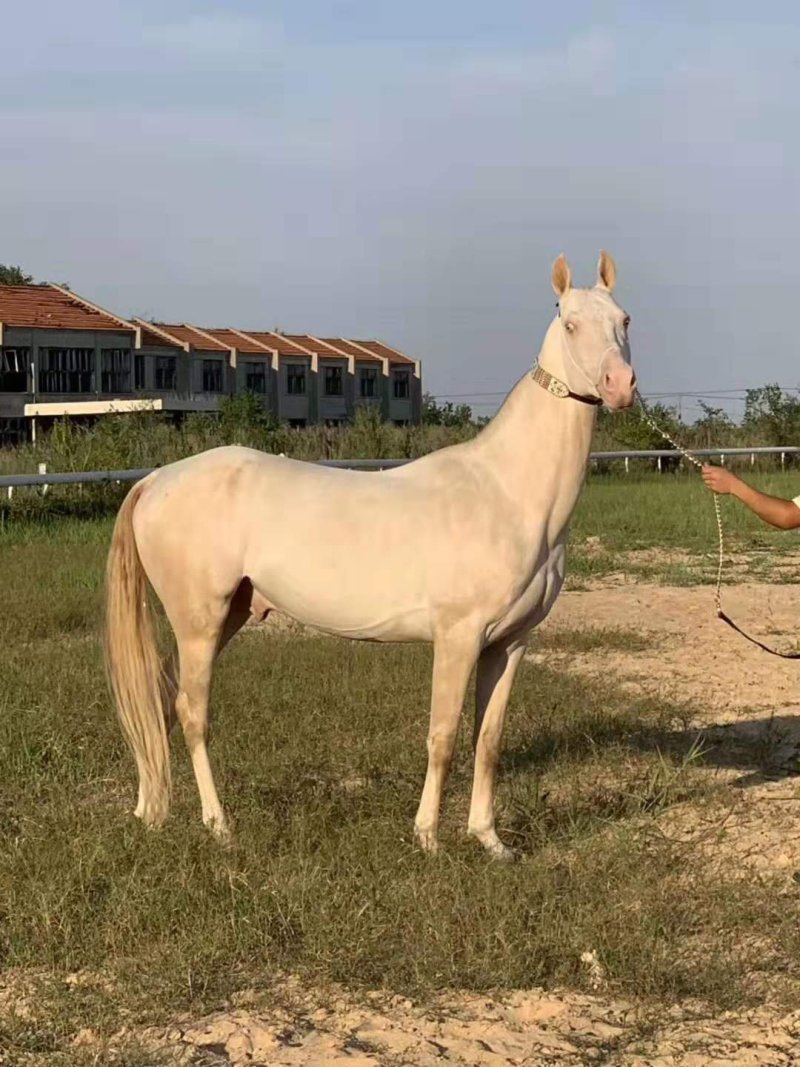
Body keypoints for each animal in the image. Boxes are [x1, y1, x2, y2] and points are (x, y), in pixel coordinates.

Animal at [104, 251, 636, 859]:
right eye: (569, 323)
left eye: (624, 320)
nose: (620, 385)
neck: (506, 491)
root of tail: (156, 480)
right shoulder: (458, 638)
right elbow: (443, 736)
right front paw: (428, 838)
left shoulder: (510, 643)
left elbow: (489, 739)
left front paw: (490, 840)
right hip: (200, 623)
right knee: (191, 713)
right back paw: (219, 825)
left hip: (228, 616)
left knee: (160, 701)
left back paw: (152, 810)